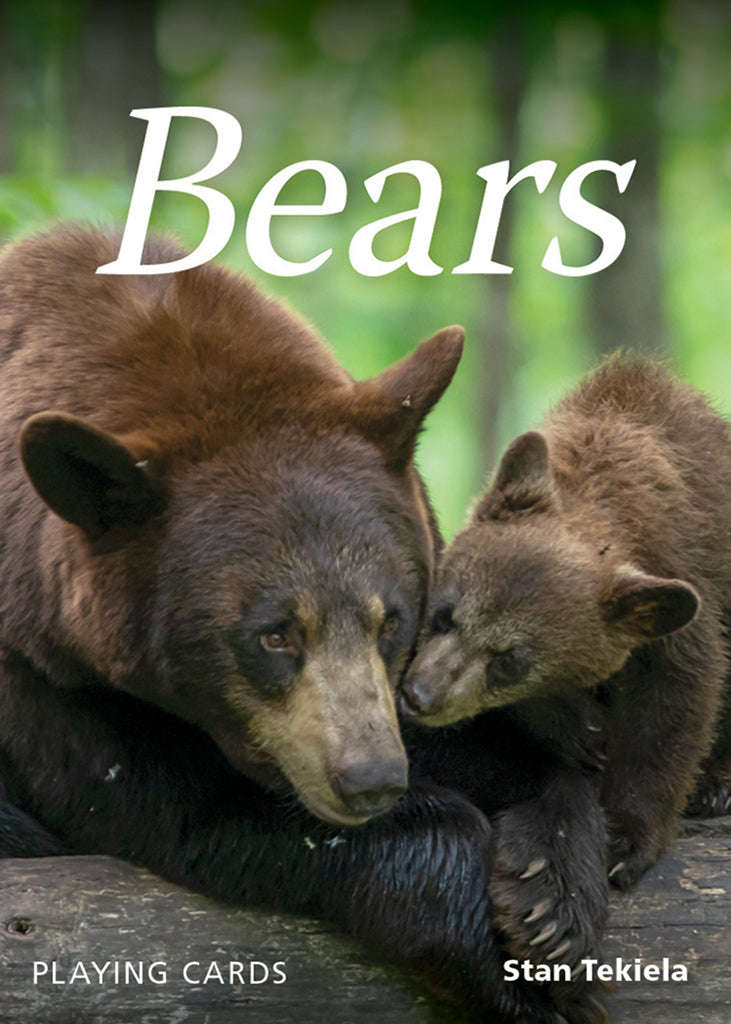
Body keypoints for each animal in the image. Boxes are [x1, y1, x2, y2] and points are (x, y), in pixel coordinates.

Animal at [0, 225, 604, 1024]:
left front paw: (552, 895)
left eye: (391, 620)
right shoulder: (41, 674)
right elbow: (188, 803)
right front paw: (509, 967)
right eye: (273, 633)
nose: (371, 779)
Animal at [400, 355, 730, 967]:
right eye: (444, 614)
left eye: (509, 659)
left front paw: (623, 839)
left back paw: (718, 782)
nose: (420, 696)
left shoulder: (684, 591)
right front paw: (582, 733)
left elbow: (676, 704)